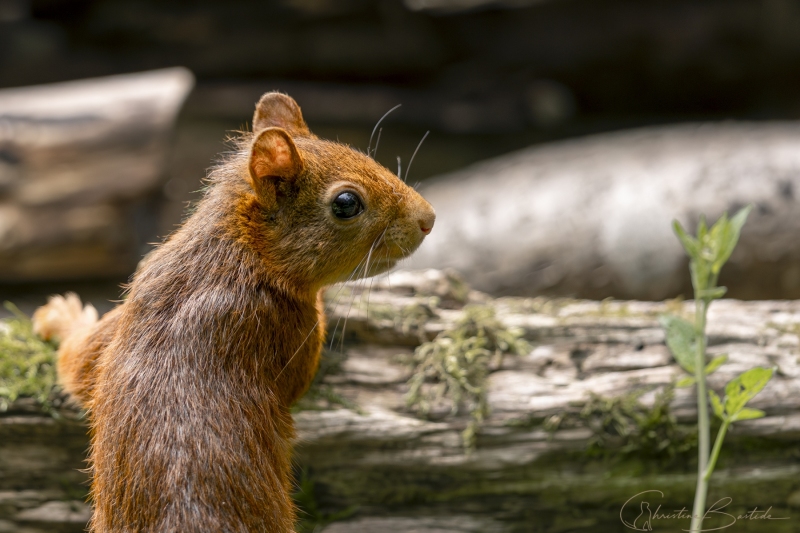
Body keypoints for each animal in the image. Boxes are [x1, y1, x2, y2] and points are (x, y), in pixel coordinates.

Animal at [31, 93, 434, 528]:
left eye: (360, 153)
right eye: (346, 203)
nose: (428, 218)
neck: (238, 251)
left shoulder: (131, 305)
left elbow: (79, 365)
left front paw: (60, 317)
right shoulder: (288, 330)